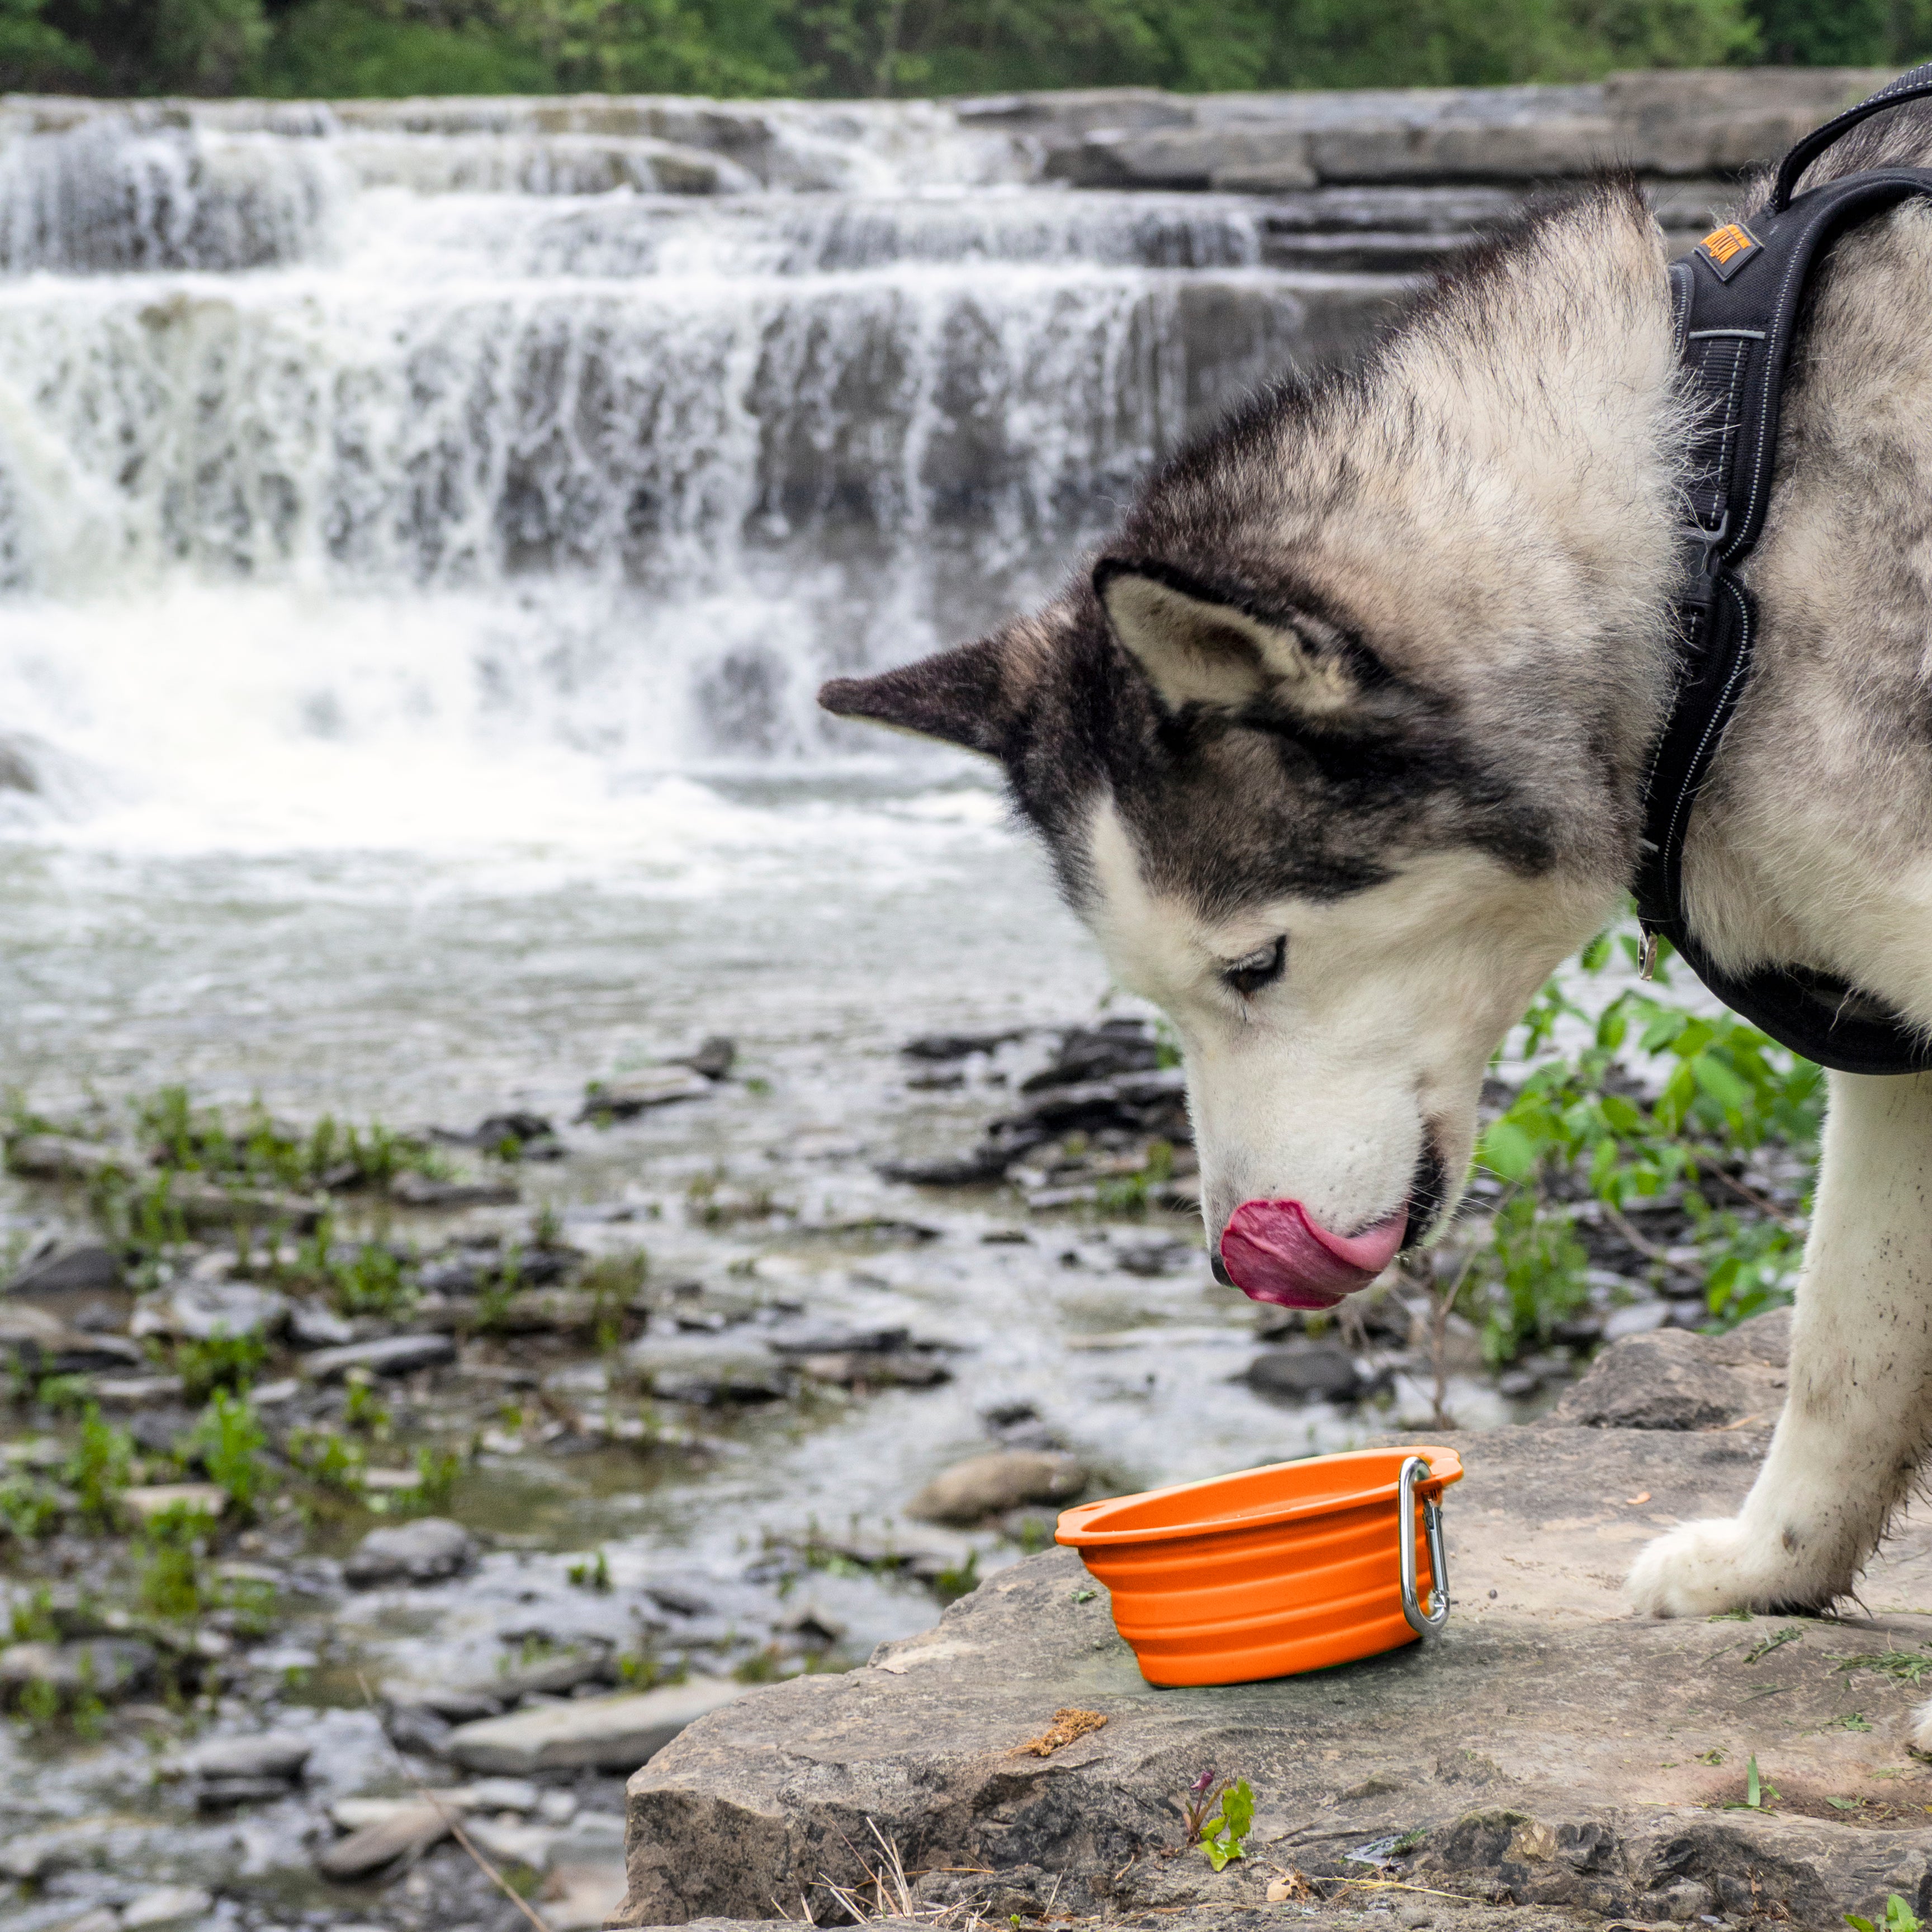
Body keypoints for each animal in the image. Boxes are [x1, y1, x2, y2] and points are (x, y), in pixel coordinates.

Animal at [823, 98, 1932, 1746]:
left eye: (1255, 962)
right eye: (1155, 997)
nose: (1237, 1260)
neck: (1714, 524)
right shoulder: (1894, 1046)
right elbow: (1846, 1343)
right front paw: (1769, 1569)